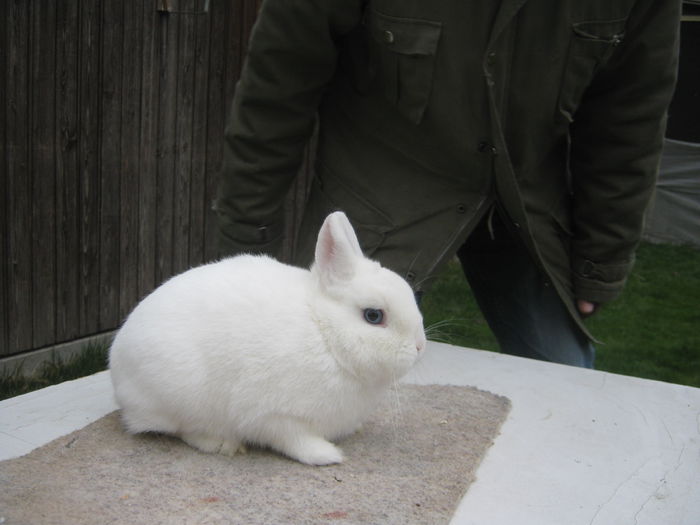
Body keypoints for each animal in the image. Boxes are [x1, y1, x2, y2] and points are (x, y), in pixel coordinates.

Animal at [109, 209, 426, 462]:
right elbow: (293, 439)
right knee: (183, 428)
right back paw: (223, 444)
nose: (420, 347)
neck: (325, 334)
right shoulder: (274, 413)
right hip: (181, 397)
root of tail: (117, 364)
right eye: (373, 316)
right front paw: (328, 455)